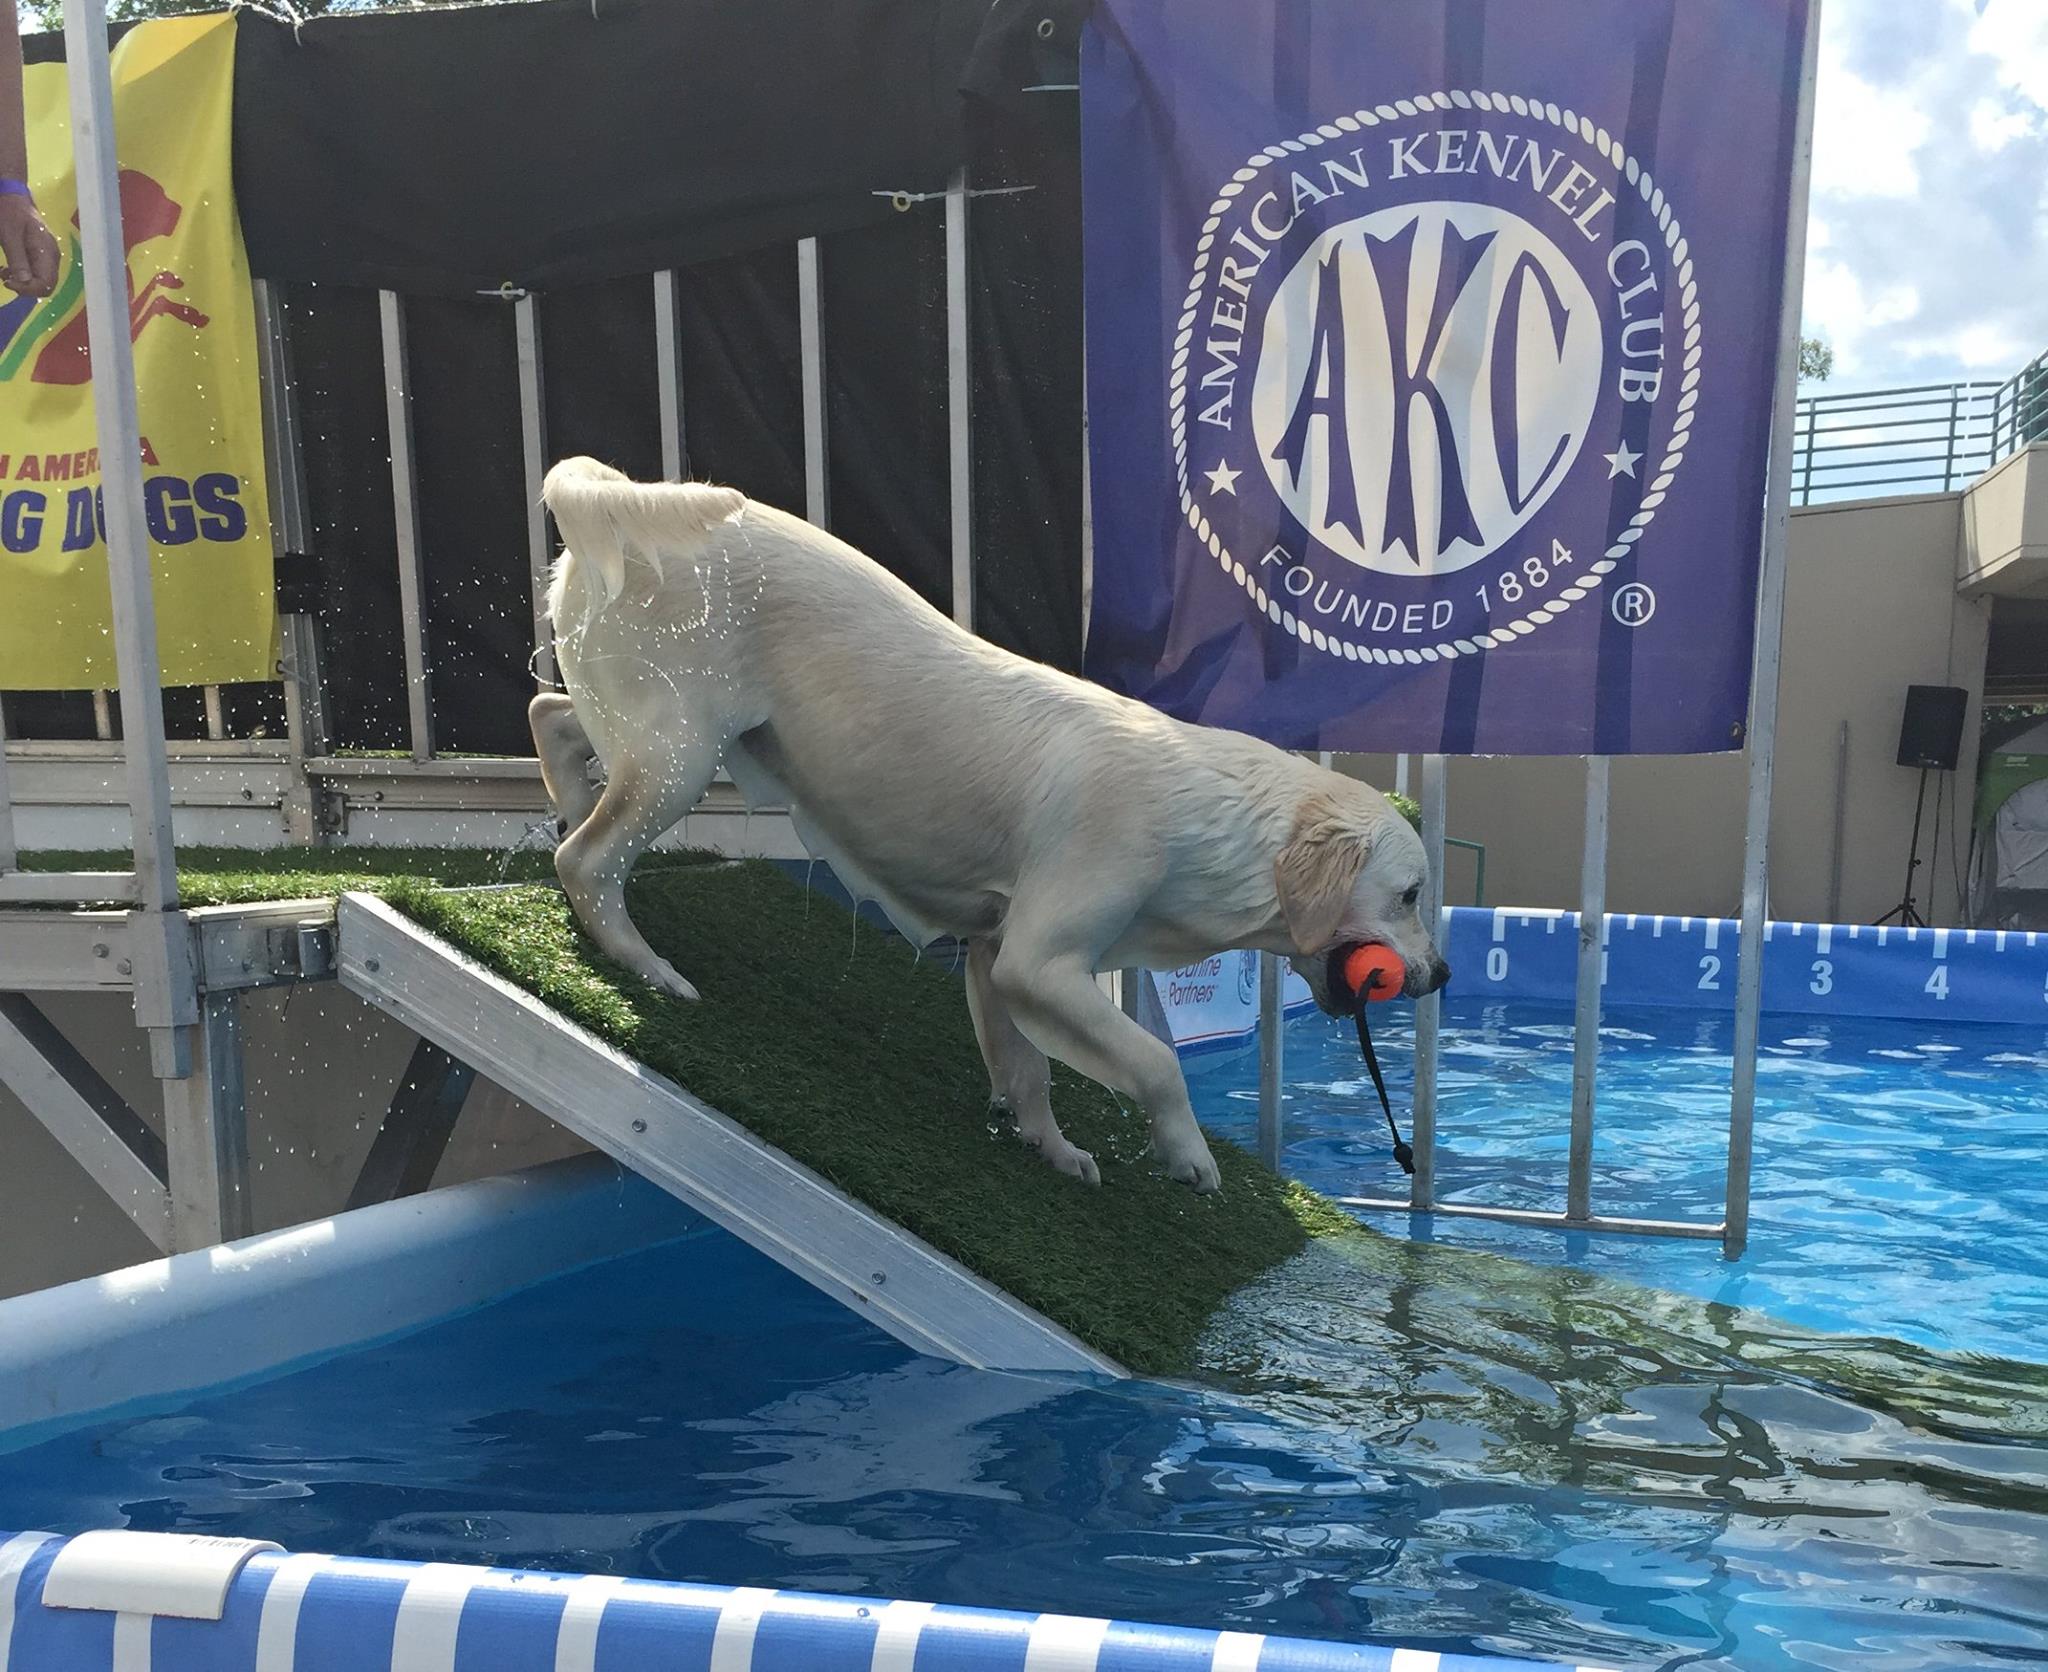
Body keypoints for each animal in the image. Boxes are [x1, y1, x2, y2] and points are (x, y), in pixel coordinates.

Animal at [532, 456, 1458, 1188]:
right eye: (1411, 895)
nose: (1444, 973)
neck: (1205, 816)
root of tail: (622, 492)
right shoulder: (1039, 961)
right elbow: (1155, 1059)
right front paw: (1188, 1154)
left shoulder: (992, 954)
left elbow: (1028, 1073)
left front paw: (1052, 1149)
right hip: (683, 755)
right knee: (588, 861)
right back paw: (645, 963)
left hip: (668, 737)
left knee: (554, 721)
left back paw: (565, 804)